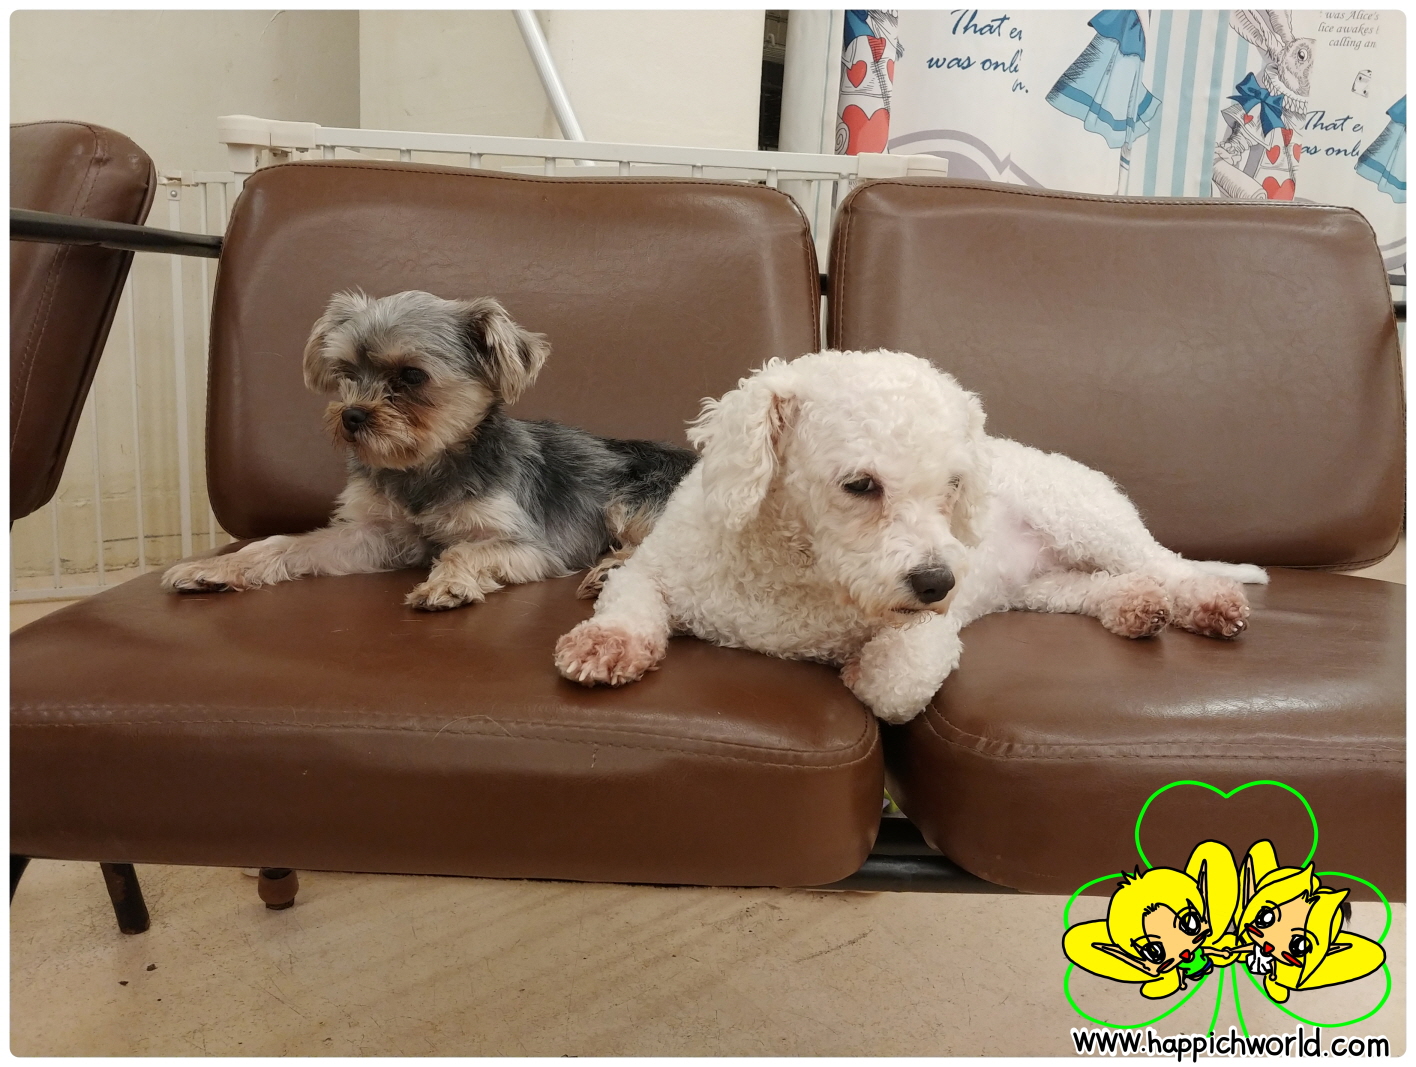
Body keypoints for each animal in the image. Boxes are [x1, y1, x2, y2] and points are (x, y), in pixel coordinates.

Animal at [163, 290, 697, 609]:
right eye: (345, 372)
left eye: (412, 376)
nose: (351, 416)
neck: (423, 467)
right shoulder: (377, 535)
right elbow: (284, 543)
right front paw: (217, 568)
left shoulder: (531, 547)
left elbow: (462, 549)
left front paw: (446, 584)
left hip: (632, 501)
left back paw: (611, 570)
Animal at [554, 349, 1267, 723]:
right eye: (860, 484)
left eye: (952, 484)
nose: (936, 583)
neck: (797, 572)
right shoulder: (652, 571)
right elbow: (628, 601)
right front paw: (605, 645)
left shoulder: (928, 633)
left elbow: (897, 682)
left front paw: (856, 670)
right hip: (1042, 585)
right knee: (1098, 587)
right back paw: (1135, 606)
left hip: (1089, 519)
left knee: (1169, 563)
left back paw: (1207, 602)